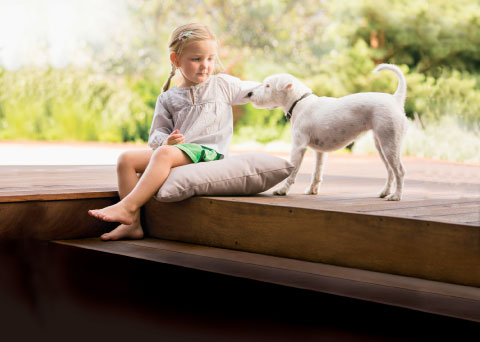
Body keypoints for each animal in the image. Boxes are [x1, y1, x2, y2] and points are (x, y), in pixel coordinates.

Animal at [248, 64, 408, 200]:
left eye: (268, 85)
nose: (249, 93)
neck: (299, 102)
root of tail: (395, 99)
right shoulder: (320, 152)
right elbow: (316, 173)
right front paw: (312, 190)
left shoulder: (298, 147)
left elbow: (292, 171)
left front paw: (282, 190)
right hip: (381, 145)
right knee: (390, 171)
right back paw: (385, 192)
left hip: (389, 143)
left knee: (399, 171)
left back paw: (396, 196)